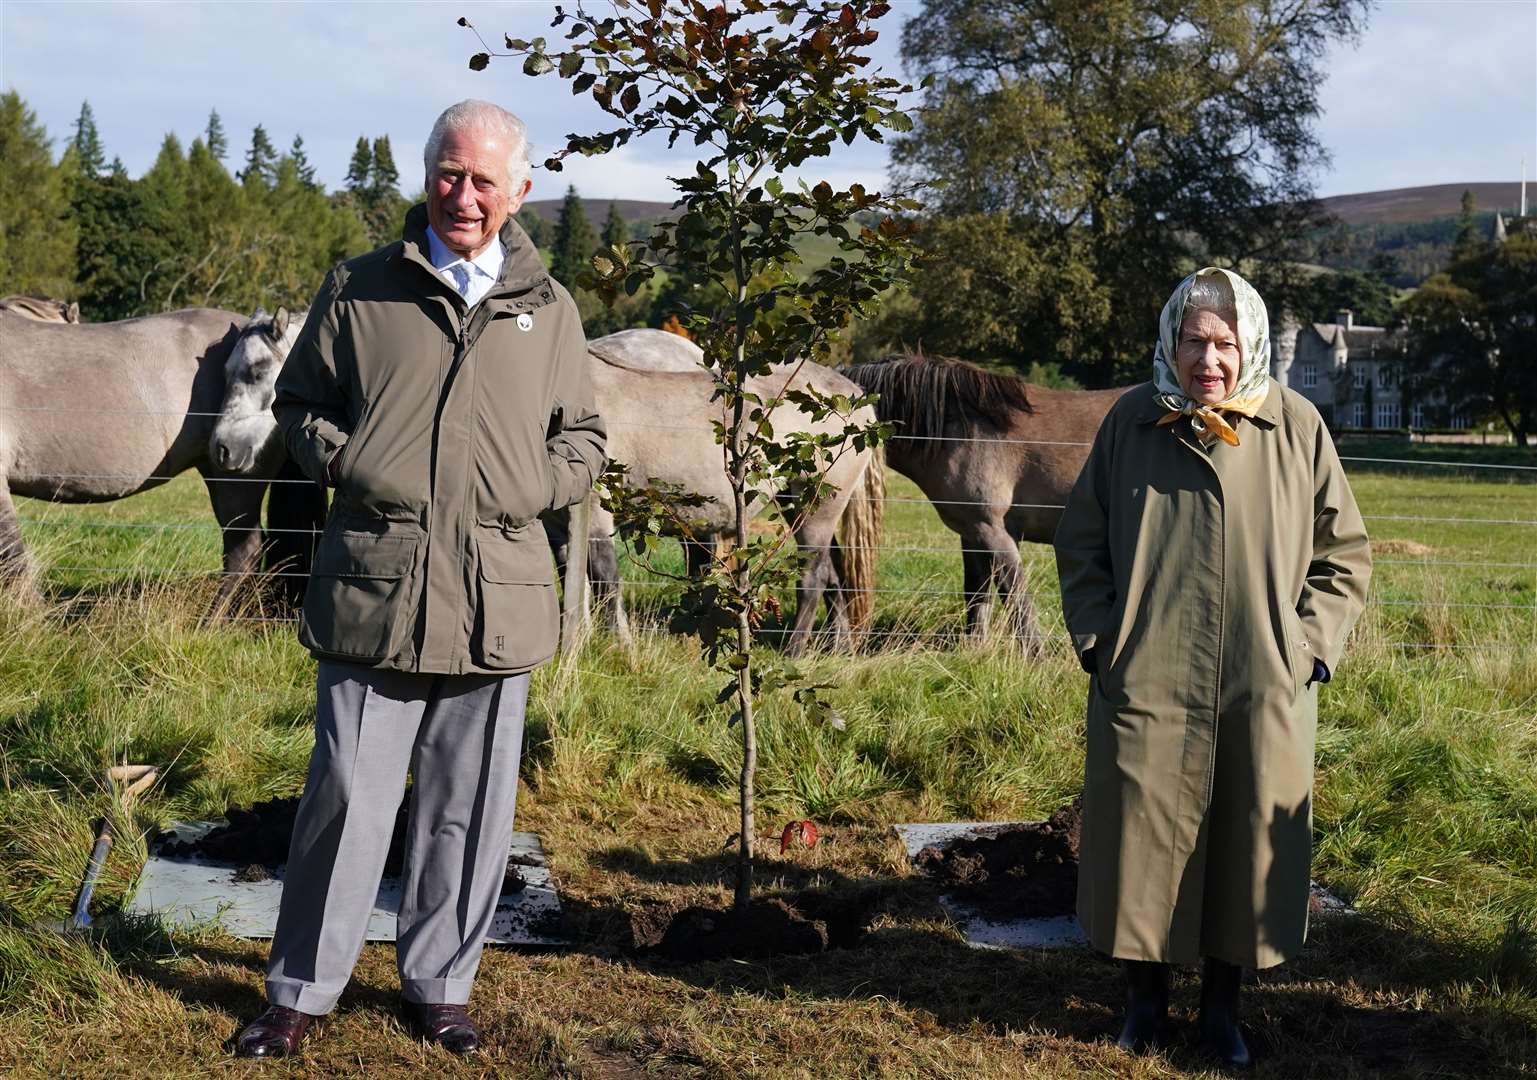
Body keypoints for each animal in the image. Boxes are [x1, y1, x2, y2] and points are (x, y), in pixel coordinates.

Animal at [842, 354, 1131, 645]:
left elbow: (1015, 597)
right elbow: (977, 594)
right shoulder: (972, 533)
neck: (958, 430)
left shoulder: (993, 530)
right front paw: (975, 647)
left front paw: (1034, 652)